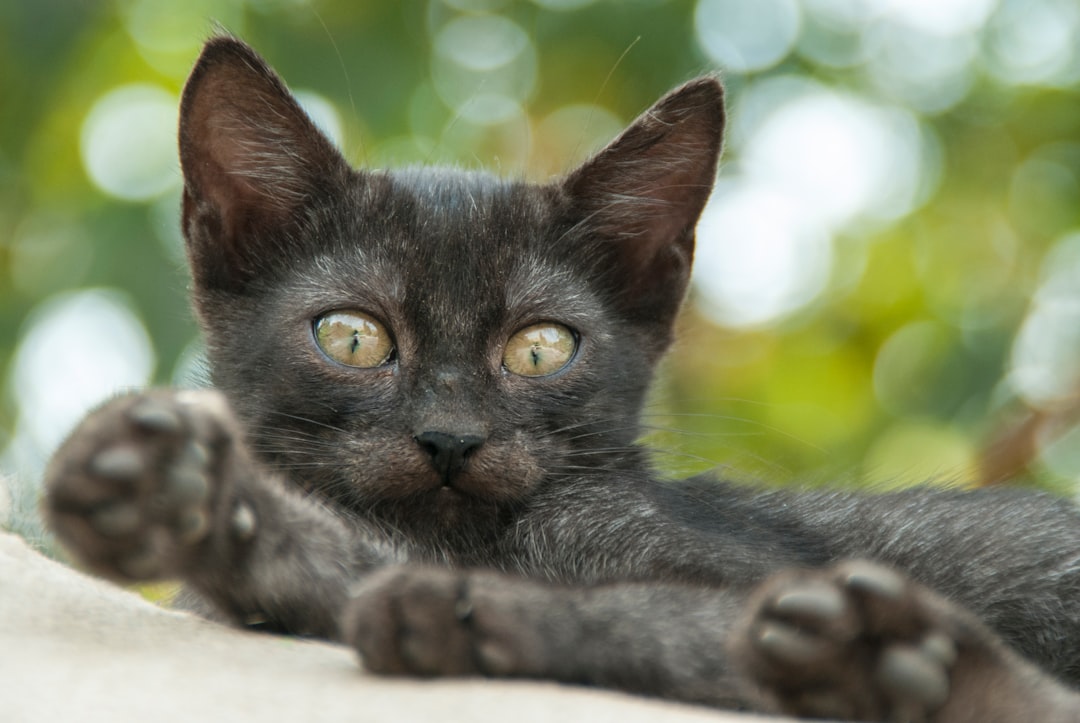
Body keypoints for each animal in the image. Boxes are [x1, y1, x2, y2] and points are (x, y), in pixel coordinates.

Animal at [46, 35, 1080, 721]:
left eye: (541, 348)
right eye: (351, 337)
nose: (450, 436)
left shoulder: (744, 575)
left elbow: (653, 610)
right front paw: (192, 501)